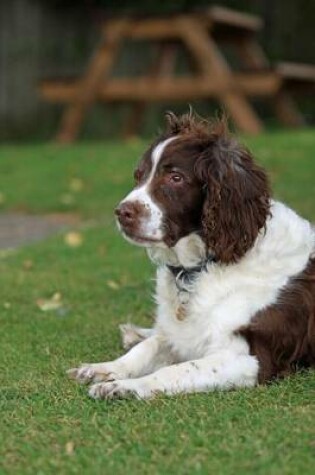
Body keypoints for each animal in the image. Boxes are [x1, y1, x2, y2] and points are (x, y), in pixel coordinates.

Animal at [69, 113, 315, 400]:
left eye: (176, 177)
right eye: (139, 176)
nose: (122, 213)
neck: (205, 264)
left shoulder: (252, 359)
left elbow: (175, 369)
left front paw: (126, 386)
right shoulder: (181, 334)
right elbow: (150, 347)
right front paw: (107, 368)